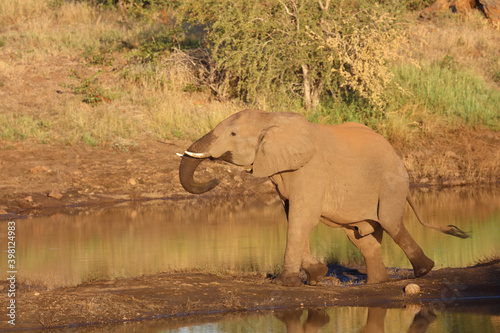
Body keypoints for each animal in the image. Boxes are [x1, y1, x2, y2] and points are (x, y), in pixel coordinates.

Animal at [177, 109, 468, 286]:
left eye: (233, 134)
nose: (217, 180)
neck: (272, 118)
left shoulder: (311, 169)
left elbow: (302, 216)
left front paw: (285, 283)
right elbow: (292, 215)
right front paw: (317, 276)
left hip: (393, 180)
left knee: (389, 221)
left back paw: (424, 271)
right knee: (362, 238)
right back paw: (377, 283)